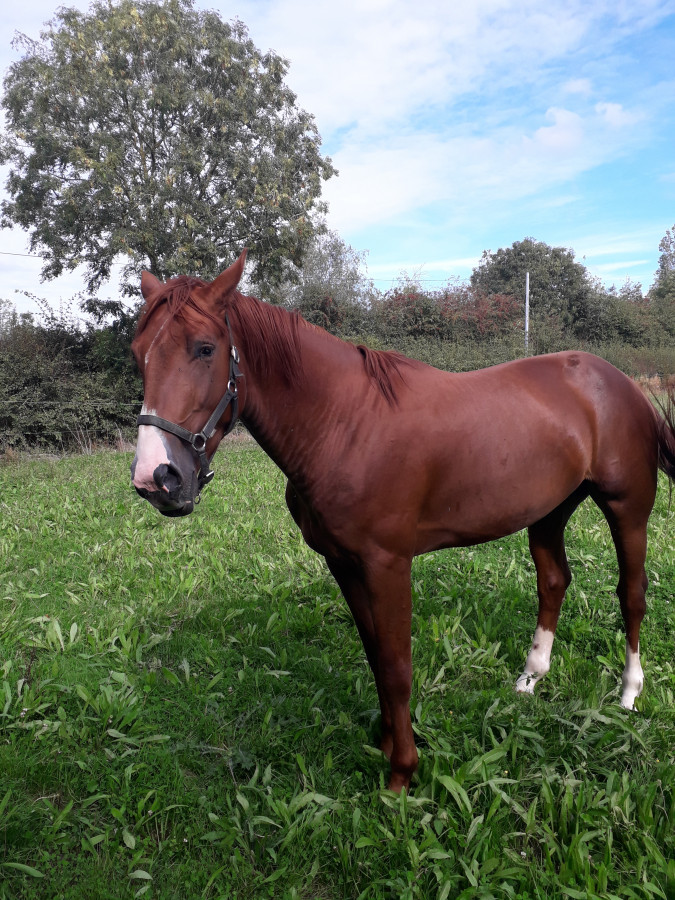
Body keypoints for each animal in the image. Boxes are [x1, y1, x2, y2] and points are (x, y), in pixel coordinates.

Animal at [130, 251, 675, 792]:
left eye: (205, 349)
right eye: (138, 354)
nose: (157, 478)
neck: (345, 423)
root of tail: (620, 382)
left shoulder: (387, 564)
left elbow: (396, 666)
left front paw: (402, 774)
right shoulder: (343, 563)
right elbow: (375, 656)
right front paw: (389, 742)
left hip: (627, 508)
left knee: (631, 593)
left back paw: (628, 693)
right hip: (549, 510)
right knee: (554, 581)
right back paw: (530, 678)